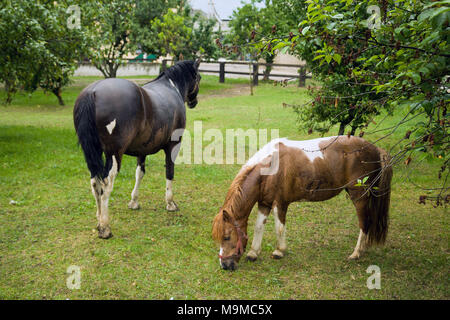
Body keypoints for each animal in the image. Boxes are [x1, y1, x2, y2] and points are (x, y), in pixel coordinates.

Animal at [74, 59, 201, 238]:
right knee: (105, 185)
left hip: (93, 153)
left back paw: (99, 221)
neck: (171, 87)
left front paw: (134, 201)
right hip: (114, 155)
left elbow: (139, 174)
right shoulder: (173, 146)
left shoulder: (142, 150)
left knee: (95, 183)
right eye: (199, 78)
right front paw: (170, 203)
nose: (193, 102)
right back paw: (105, 227)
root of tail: (93, 92)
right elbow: (169, 172)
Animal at [213, 135, 392, 270]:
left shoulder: (280, 203)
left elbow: (279, 228)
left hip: (360, 197)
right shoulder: (264, 203)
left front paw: (279, 251)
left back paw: (356, 253)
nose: (224, 265)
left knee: (364, 223)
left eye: (227, 237)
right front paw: (253, 253)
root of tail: (376, 149)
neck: (269, 168)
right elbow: (258, 227)